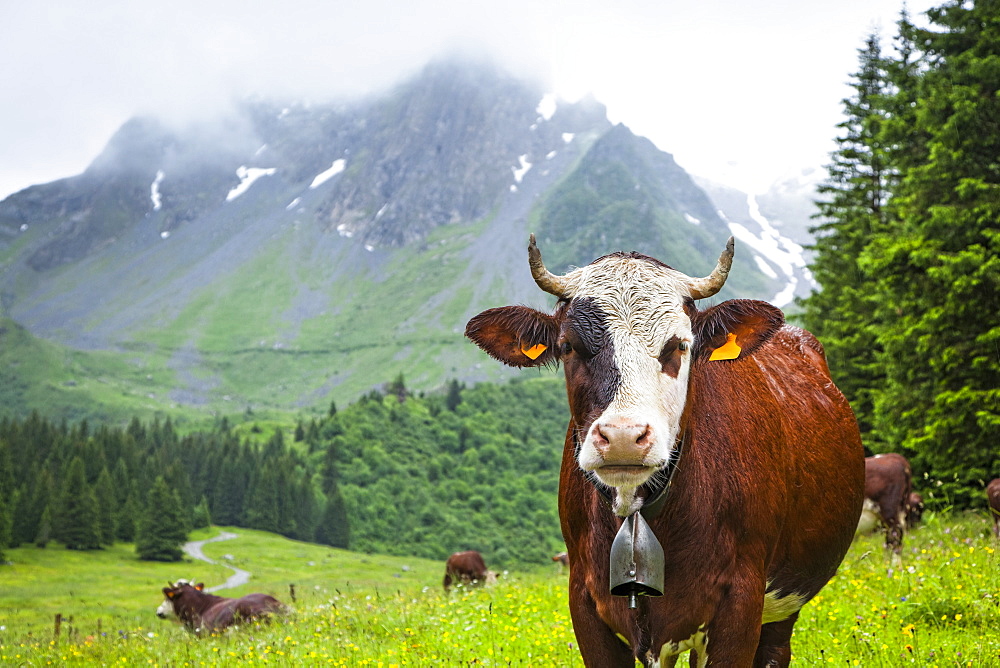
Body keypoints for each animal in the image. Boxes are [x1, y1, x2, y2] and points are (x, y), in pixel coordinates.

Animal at [464, 236, 864, 668]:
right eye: (569, 346)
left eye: (680, 345)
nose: (623, 436)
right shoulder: (585, 604)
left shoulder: (740, 603)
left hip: (783, 603)